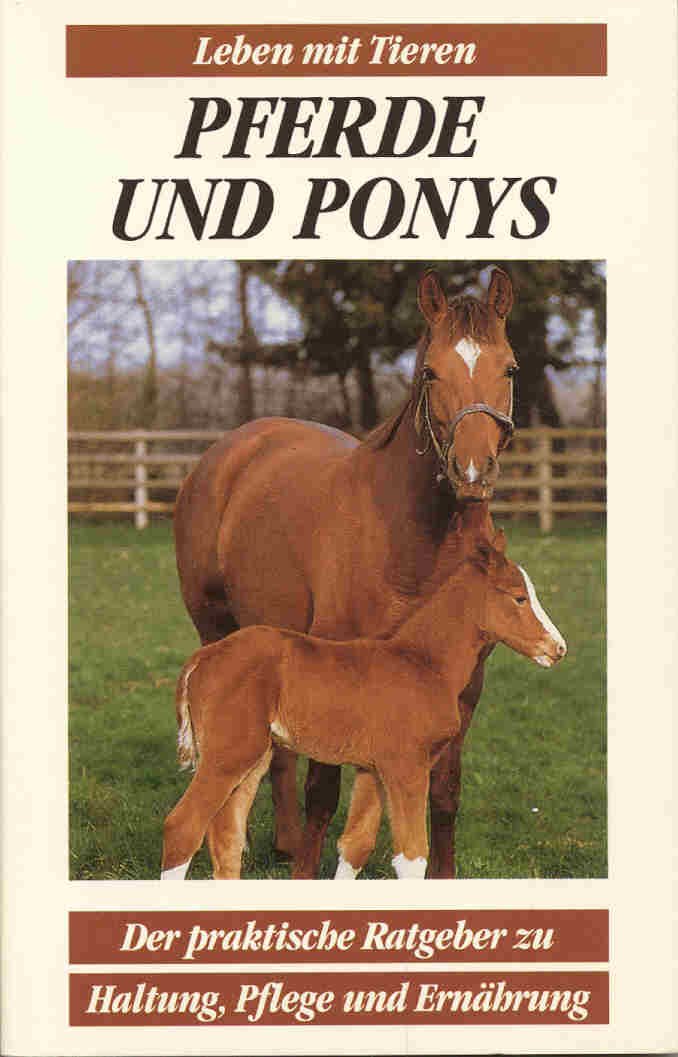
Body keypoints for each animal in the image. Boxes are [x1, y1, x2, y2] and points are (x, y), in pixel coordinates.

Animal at [161, 529, 566, 881]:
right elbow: (412, 859)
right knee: (183, 827)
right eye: (519, 597)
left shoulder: (372, 769)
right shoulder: (407, 766)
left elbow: (355, 847)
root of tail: (203, 657)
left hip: (253, 758)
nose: (558, 648)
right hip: (229, 754)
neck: (424, 663)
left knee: (226, 838)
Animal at [173, 266, 518, 879]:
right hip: (219, 632)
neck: (418, 546)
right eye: (430, 371)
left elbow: (445, 792)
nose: (473, 471)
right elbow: (323, 792)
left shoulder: (465, 687)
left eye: (510, 367)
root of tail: (232, 449)